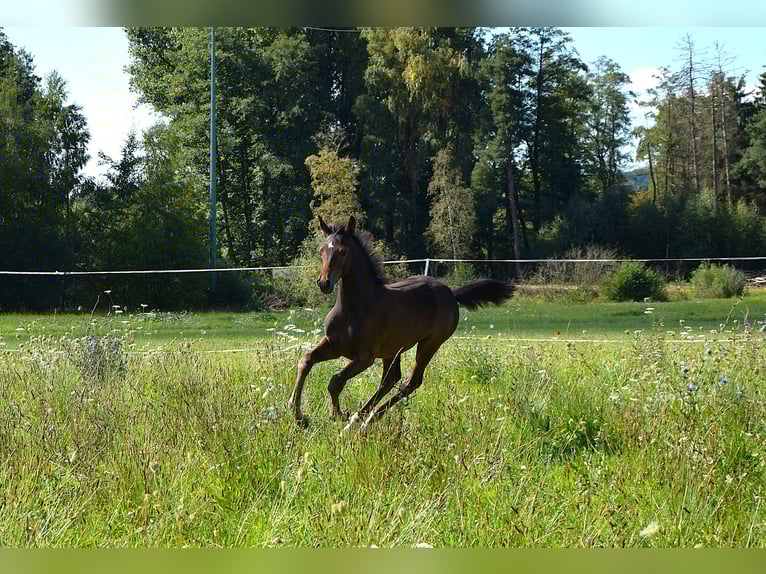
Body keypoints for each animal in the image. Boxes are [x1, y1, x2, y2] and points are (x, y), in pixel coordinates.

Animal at [287, 215, 514, 432]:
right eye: (321, 251)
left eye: (343, 252)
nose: (324, 283)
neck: (355, 308)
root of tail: (451, 292)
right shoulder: (333, 345)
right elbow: (305, 361)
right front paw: (299, 416)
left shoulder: (365, 357)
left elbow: (336, 381)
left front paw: (337, 415)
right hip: (392, 350)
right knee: (390, 380)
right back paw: (362, 419)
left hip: (429, 344)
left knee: (410, 382)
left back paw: (362, 421)